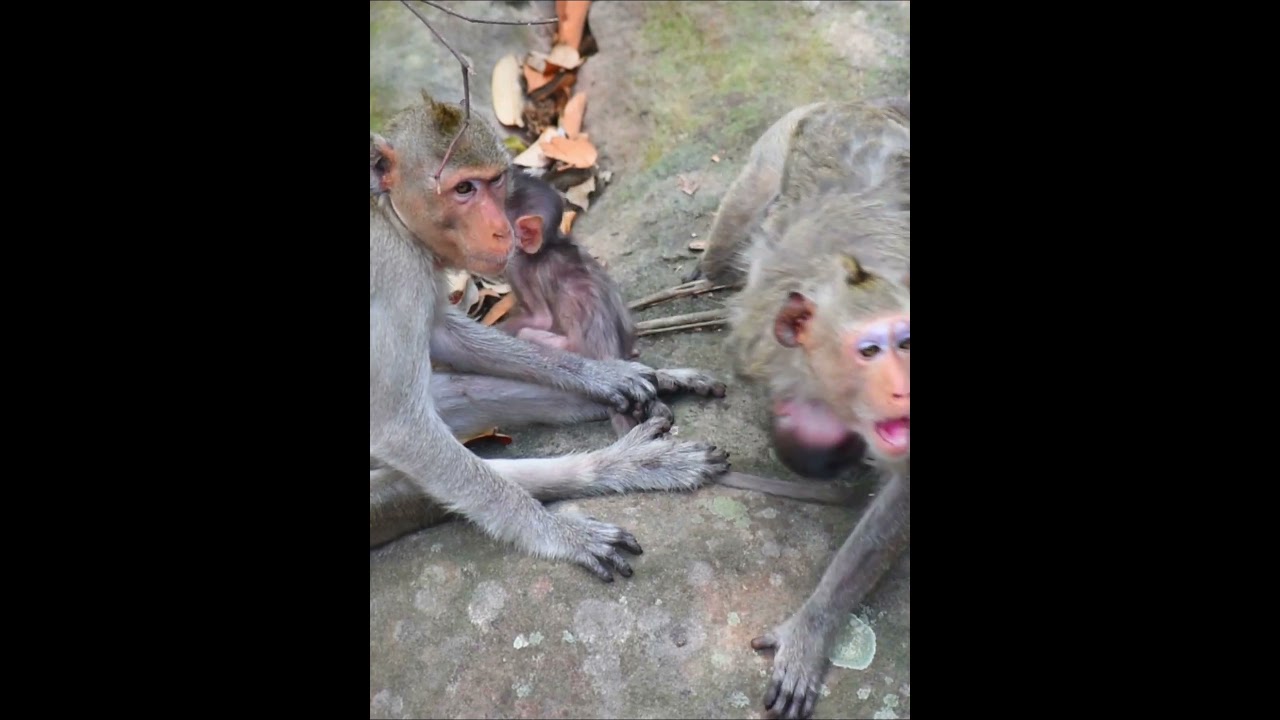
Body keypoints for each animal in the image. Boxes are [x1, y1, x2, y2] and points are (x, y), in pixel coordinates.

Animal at [369, 91, 732, 582]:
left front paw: (604, 375)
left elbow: (442, 333)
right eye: (463, 190)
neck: (390, 214)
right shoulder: (395, 266)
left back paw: (629, 438)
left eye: (494, 181)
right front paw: (560, 535)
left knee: (463, 394)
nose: (501, 229)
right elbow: (399, 427)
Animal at [679, 98, 910, 718]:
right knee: (726, 248)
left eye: (908, 343)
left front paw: (812, 629)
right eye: (869, 350)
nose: (902, 389)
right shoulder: (760, 341)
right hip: (775, 146)